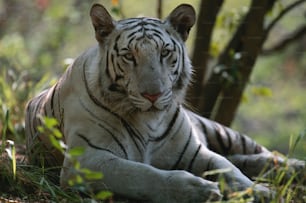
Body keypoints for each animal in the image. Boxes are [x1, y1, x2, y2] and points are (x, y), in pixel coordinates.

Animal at [25, 3, 304, 203]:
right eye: (129, 56)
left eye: (165, 52)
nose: (153, 95)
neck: (149, 121)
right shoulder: (87, 159)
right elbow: (142, 174)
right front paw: (199, 189)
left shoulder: (195, 151)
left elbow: (229, 170)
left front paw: (260, 192)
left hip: (223, 132)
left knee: (262, 154)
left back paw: (295, 168)